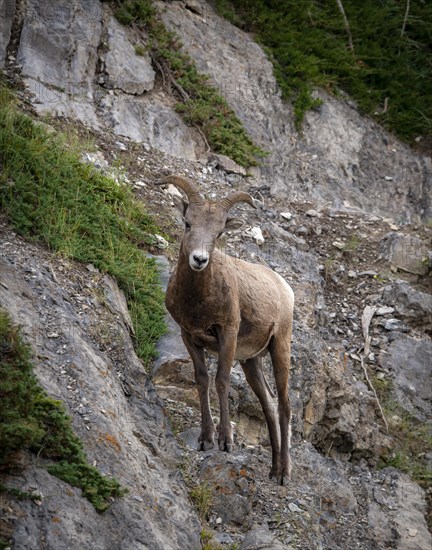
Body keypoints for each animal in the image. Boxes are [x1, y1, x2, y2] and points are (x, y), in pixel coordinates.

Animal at [157, 176, 296, 484]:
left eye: (219, 232)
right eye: (188, 223)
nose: (199, 259)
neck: (198, 299)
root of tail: (284, 287)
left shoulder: (227, 335)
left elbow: (221, 380)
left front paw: (225, 442)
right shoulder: (189, 336)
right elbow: (202, 380)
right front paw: (205, 440)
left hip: (280, 346)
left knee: (284, 405)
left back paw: (284, 473)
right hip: (251, 361)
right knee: (268, 404)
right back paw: (272, 470)